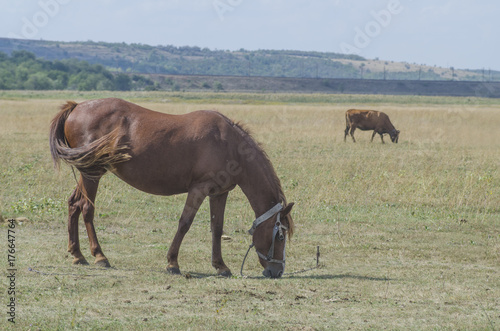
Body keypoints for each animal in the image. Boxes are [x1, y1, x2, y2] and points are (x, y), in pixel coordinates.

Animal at [48, 98, 292, 278]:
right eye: (280, 236)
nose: (277, 271)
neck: (230, 145)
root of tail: (77, 106)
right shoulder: (198, 189)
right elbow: (185, 223)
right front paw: (172, 263)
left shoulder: (219, 193)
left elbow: (217, 228)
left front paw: (220, 266)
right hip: (93, 174)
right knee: (87, 209)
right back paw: (100, 256)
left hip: (88, 173)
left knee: (74, 204)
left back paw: (78, 254)